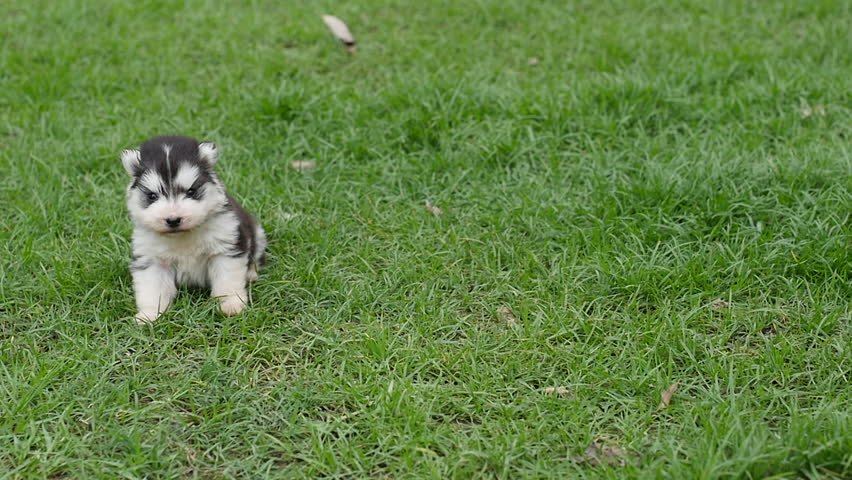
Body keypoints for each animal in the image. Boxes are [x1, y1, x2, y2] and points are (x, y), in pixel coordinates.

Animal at [120, 136, 264, 322]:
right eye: (152, 196)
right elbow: (152, 289)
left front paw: (231, 304)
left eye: (191, 192)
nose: (173, 219)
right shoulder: (151, 260)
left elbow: (227, 281)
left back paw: (251, 274)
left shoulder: (225, 250)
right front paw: (149, 315)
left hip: (257, 234)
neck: (183, 236)